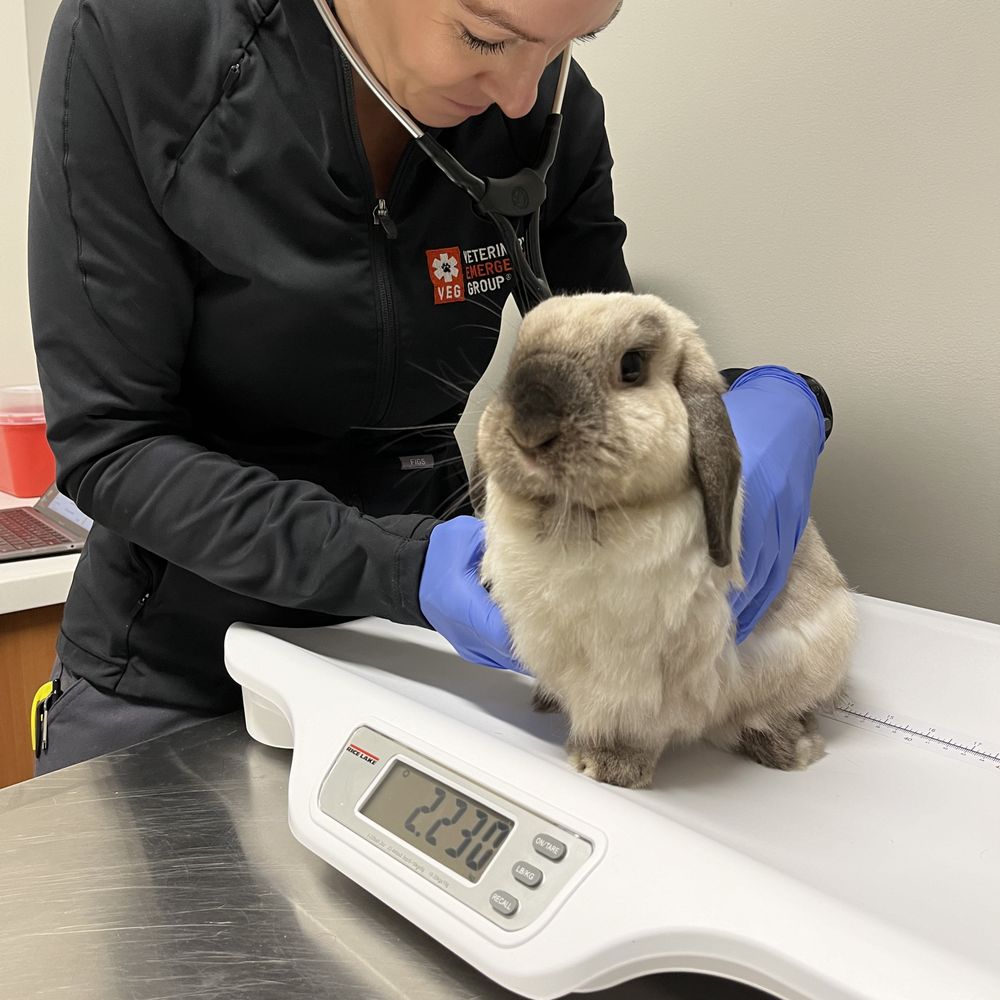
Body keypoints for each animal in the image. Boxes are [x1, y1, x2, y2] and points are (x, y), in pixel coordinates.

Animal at [473, 292, 857, 789]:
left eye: (632, 365)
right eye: (514, 358)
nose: (529, 425)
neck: (573, 521)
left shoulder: (637, 681)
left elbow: (633, 730)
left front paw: (610, 770)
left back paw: (789, 747)